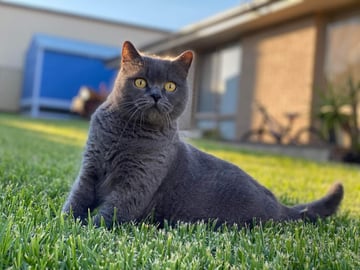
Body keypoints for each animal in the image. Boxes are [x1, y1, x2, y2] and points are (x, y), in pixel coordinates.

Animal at [62, 40, 344, 228]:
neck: (124, 135)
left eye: (170, 86)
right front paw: (65, 222)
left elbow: (113, 210)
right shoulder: (90, 167)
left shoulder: (137, 182)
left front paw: (87, 231)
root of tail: (281, 207)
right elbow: (77, 197)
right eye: (140, 81)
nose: (156, 95)